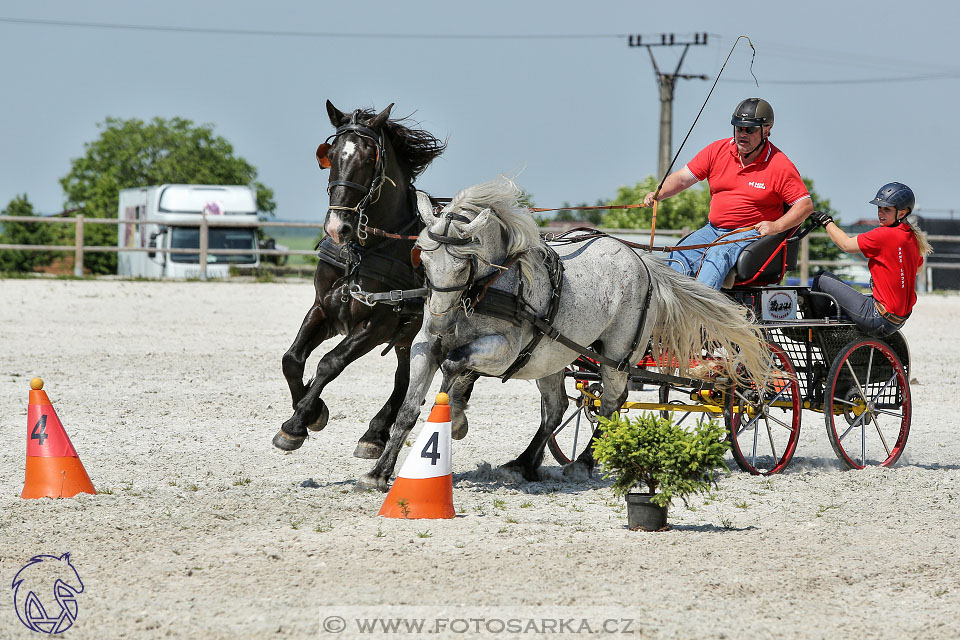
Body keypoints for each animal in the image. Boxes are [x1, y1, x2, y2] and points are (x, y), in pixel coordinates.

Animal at [274, 101, 446, 456]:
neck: (364, 250)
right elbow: (292, 359)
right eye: (331, 154)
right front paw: (312, 411)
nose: (337, 227)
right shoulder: (324, 308)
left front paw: (297, 422)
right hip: (407, 334)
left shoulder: (376, 324)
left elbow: (330, 362)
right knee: (403, 377)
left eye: (369, 159)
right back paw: (375, 432)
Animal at [356, 178, 768, 492]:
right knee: (556, 408)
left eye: (463, 262)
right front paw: (378, 473)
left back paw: (582, 463)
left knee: (611, 403)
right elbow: (410, 407)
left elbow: (455, 367)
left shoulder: (502, 351)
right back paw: (524, 464)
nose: (440, 318)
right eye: (422, 258)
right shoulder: (426, 345)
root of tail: (643, 262)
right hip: (552, 356)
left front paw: (454, 420)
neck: (486, 288)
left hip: (617, 356)